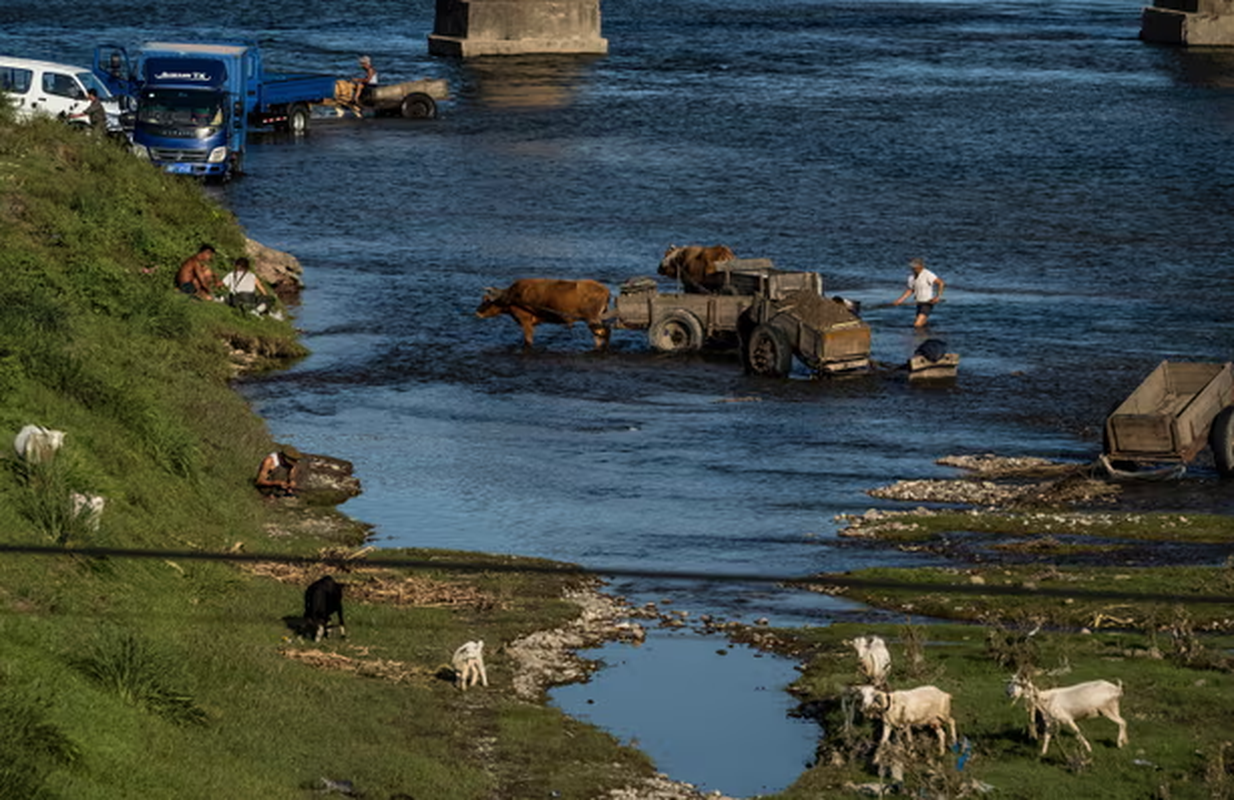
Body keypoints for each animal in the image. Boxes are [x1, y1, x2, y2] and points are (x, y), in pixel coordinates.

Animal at [473, 280, 609, 350]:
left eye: (487, 301)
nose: (477, 312)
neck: (512, 296)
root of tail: (605, 290)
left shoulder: (526, 321)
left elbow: (528, 340)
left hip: (592, 320)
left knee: (601, 334)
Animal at [1002, 676, 1130, 755]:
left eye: (1018, 684)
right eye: (1011, 682)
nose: (1007, 692)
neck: (1046, 699)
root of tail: (1117, 689)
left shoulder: (1067, 719)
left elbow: (1077, 732)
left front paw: (1089, 748)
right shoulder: (1050, 721)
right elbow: (1047, 736)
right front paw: (1042, 753)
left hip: (1107, 709)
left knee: (1122, 722)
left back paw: (1119, 744)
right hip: (1114, 708)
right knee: (1124, 721)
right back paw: (1125, 742)